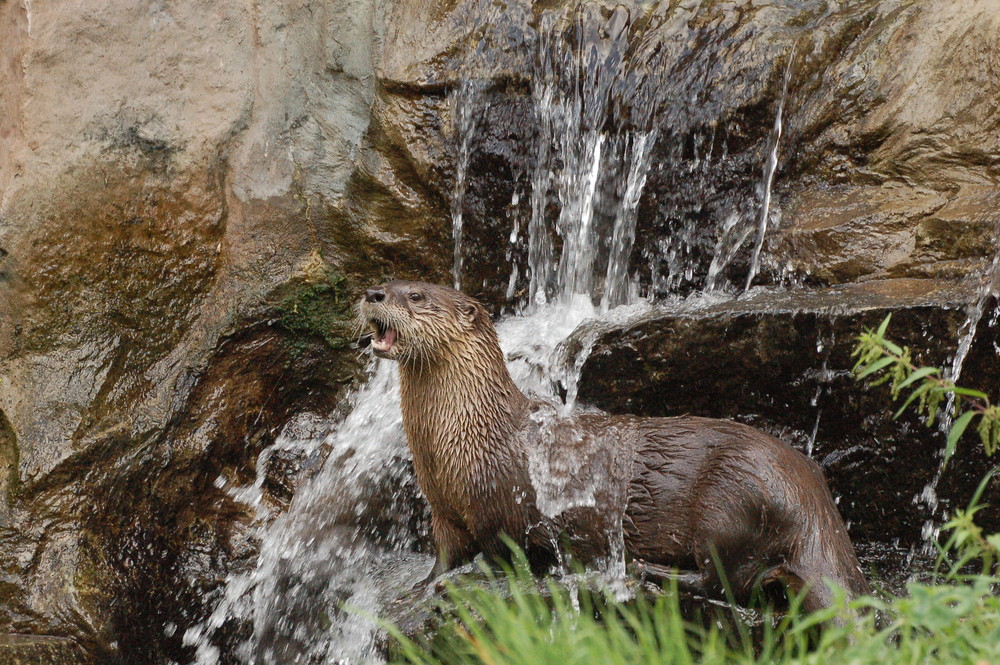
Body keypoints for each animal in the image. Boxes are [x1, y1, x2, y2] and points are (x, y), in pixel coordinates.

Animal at [358, 278, 868, 608]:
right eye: (390, 281)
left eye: (416, 296)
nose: (373, 294)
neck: (464, 436)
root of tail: (813, 497)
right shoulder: (443, 511)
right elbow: (444, 555)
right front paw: (420, 587)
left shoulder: (500, 508)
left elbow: (505, 553)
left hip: (730, 502)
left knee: (727, 582)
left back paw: (645, 570)